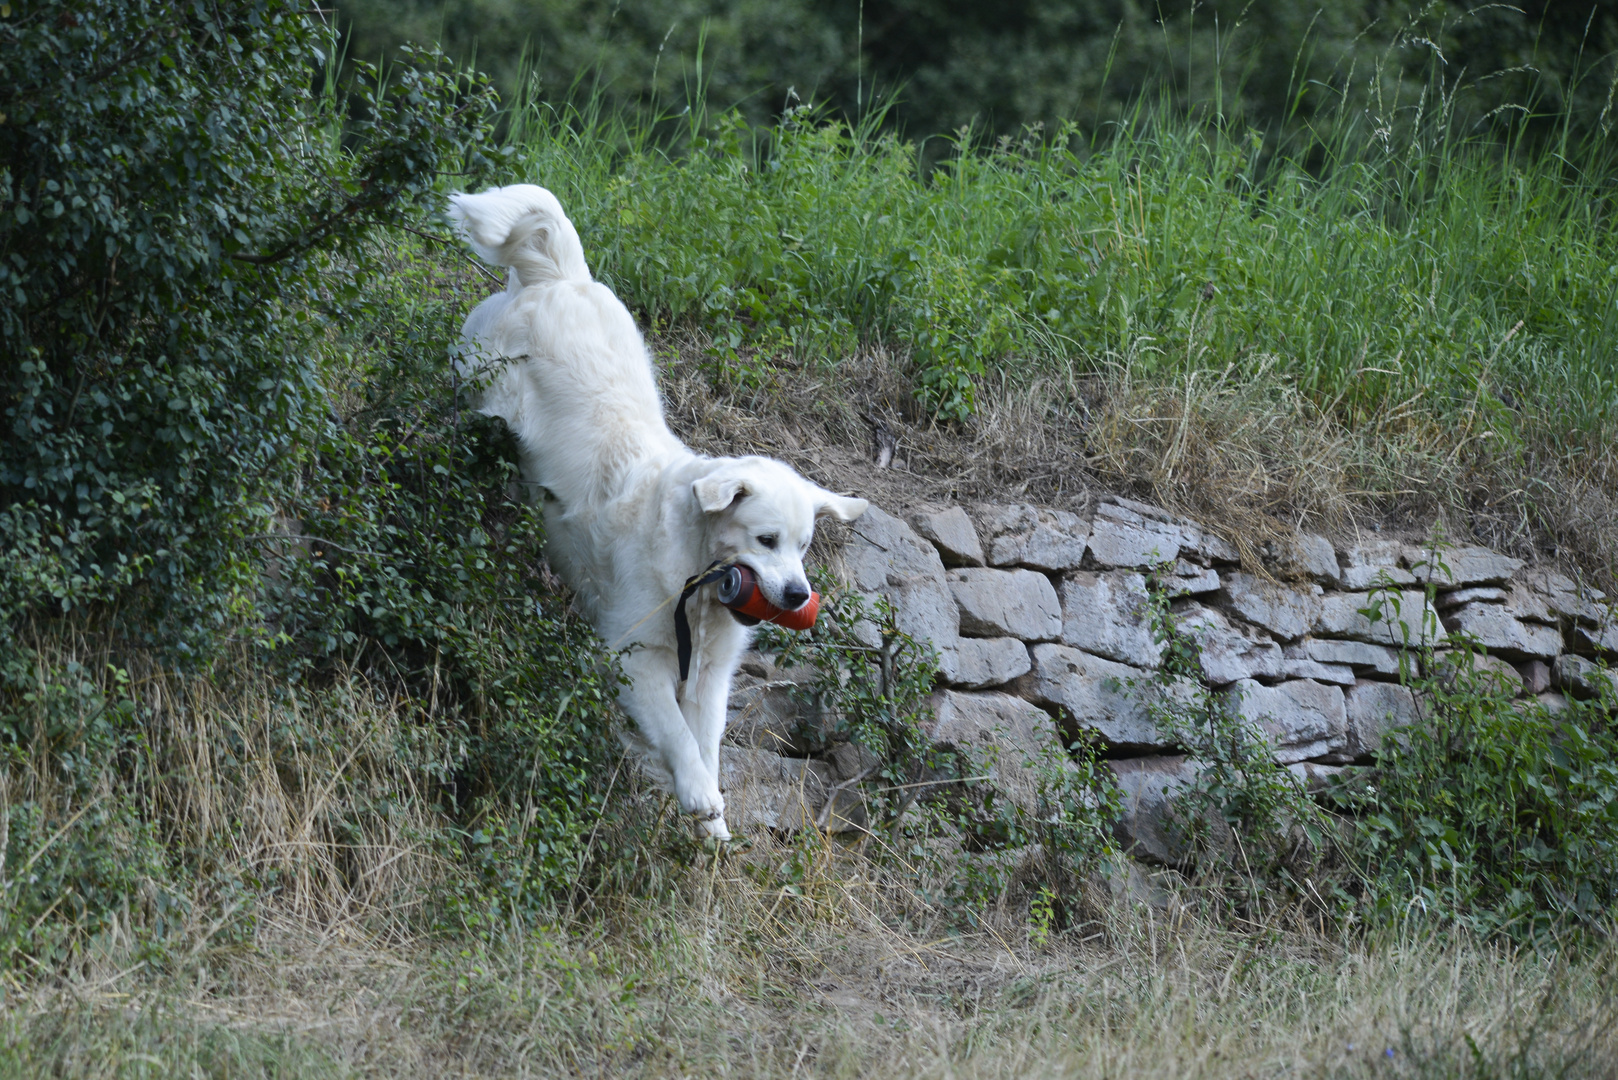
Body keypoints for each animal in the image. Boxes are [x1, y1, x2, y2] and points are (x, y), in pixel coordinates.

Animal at [449, 186, 867, 841]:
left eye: (803, 547)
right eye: (766, 539)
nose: (800, 595)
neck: (695, 575)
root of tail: (562, 274)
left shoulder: (709, 673)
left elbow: (705, 739)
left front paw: (712, 819)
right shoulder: (635, 654)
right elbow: (675, 733)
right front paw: (698, 795)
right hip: (483, 389)